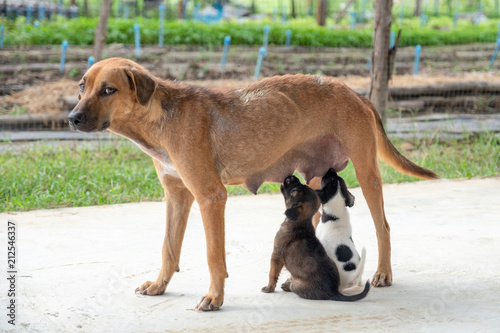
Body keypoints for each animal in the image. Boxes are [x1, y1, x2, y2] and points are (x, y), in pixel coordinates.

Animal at [67, 57, 438, 312]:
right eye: (82, 86)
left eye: (109, 90)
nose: (71, 118)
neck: (160, 117)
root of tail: (357, 93)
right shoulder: (177, 197)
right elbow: (169, 249)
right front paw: (160, 285)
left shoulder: (210, 197)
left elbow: (213, 255)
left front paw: (214, 298)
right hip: (319, 178)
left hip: (367, 174)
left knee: (383, 226)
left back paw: (383, 274)